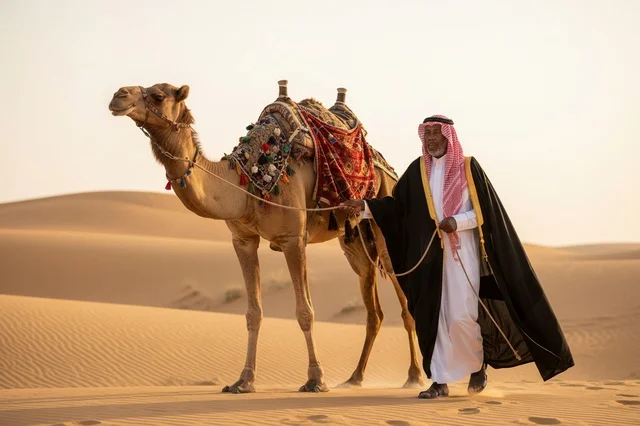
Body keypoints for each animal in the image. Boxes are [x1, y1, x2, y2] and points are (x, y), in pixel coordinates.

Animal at [107, 80, 424, 393]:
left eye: (159, 96)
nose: (117, 96)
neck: (245, 182)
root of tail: (386, 168)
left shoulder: (293, 238)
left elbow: (305, 311)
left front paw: (315, 379)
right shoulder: (243, 240)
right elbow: (253, 313)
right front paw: (244, 380)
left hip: (386, 219)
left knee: (405, 302)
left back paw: (414, 376)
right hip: (355, 242)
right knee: (374, 307)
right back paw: (355, 377)